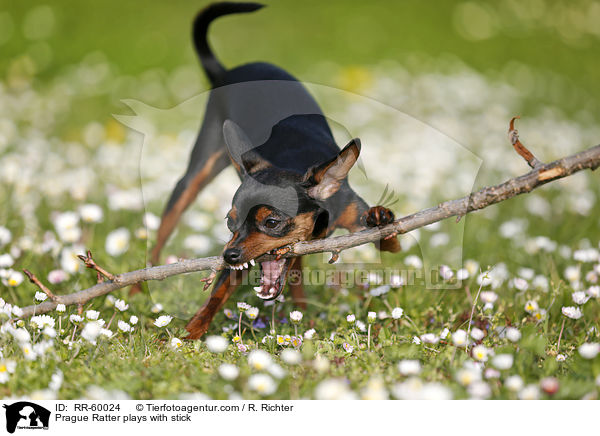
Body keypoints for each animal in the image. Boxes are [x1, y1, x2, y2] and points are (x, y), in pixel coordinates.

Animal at [145, 1, 398, 338]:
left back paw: (303, 313)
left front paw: (380, 216)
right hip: (192, 178)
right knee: (158, 243)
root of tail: (226, 71)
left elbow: (390, 238)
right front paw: (191, 333)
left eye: (272, 223)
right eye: (230, 222)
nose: (228, 255)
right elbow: (217, 293)